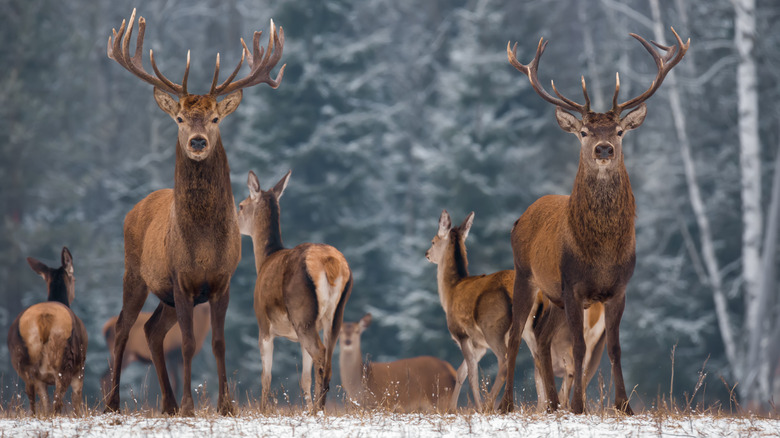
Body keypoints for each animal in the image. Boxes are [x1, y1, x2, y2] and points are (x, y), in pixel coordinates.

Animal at [7, 248, 88, 416]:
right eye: (74, 279)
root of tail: (43, 319)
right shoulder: (81, 367)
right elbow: (76, 401)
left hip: (20, 359)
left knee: (32, 394)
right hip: (65, 358)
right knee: (58, 400)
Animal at [103, 8, 284, 416]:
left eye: (216, 118)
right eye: (180, 119)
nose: (198, 142)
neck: (201, 243)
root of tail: (136, 207)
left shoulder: (222, 282)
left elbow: (217, 343)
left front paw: (225, 405)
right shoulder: (181, 279)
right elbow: (186, 343)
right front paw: (189, 405)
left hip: (165, 295)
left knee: (152, 329)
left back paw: (167, 404)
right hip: (134, 271)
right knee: (124, 327)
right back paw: (114, 403)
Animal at [238, 170, 354, 410]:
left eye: (241, 205)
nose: (234, 222)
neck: (264, 261)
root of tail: (330, 263)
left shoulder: (263, 324)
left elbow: (266, 376)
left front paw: (263, 410)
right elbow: (304, 378)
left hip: (302, 313)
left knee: (320, 354)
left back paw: (317, 410)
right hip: (335, 314)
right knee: (328, 359)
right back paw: (318, 408)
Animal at [426, 210, 512, 412]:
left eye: (433, 241)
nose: (426, 254)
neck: (450, 291)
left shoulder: (462, 334)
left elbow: (471, 373)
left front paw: (477, 407)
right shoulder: (479, 344)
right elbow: (461, 372)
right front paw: (451, 408)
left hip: (493, 327)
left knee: (504, 361)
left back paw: (489, 405)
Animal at [500, 28, 688, 414]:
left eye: (619, 130)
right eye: (584, 132)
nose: (604, 149)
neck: (601, 253)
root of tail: (522, 216)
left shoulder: (618, 289)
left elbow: (614, 348)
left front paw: (623, 406)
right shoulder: (572, 285)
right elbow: (578, 347)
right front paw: (578, 406)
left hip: (553, 296)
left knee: (542, 337)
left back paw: (552, 404)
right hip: (527, 275)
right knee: (515, 335)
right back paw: (508, 404)